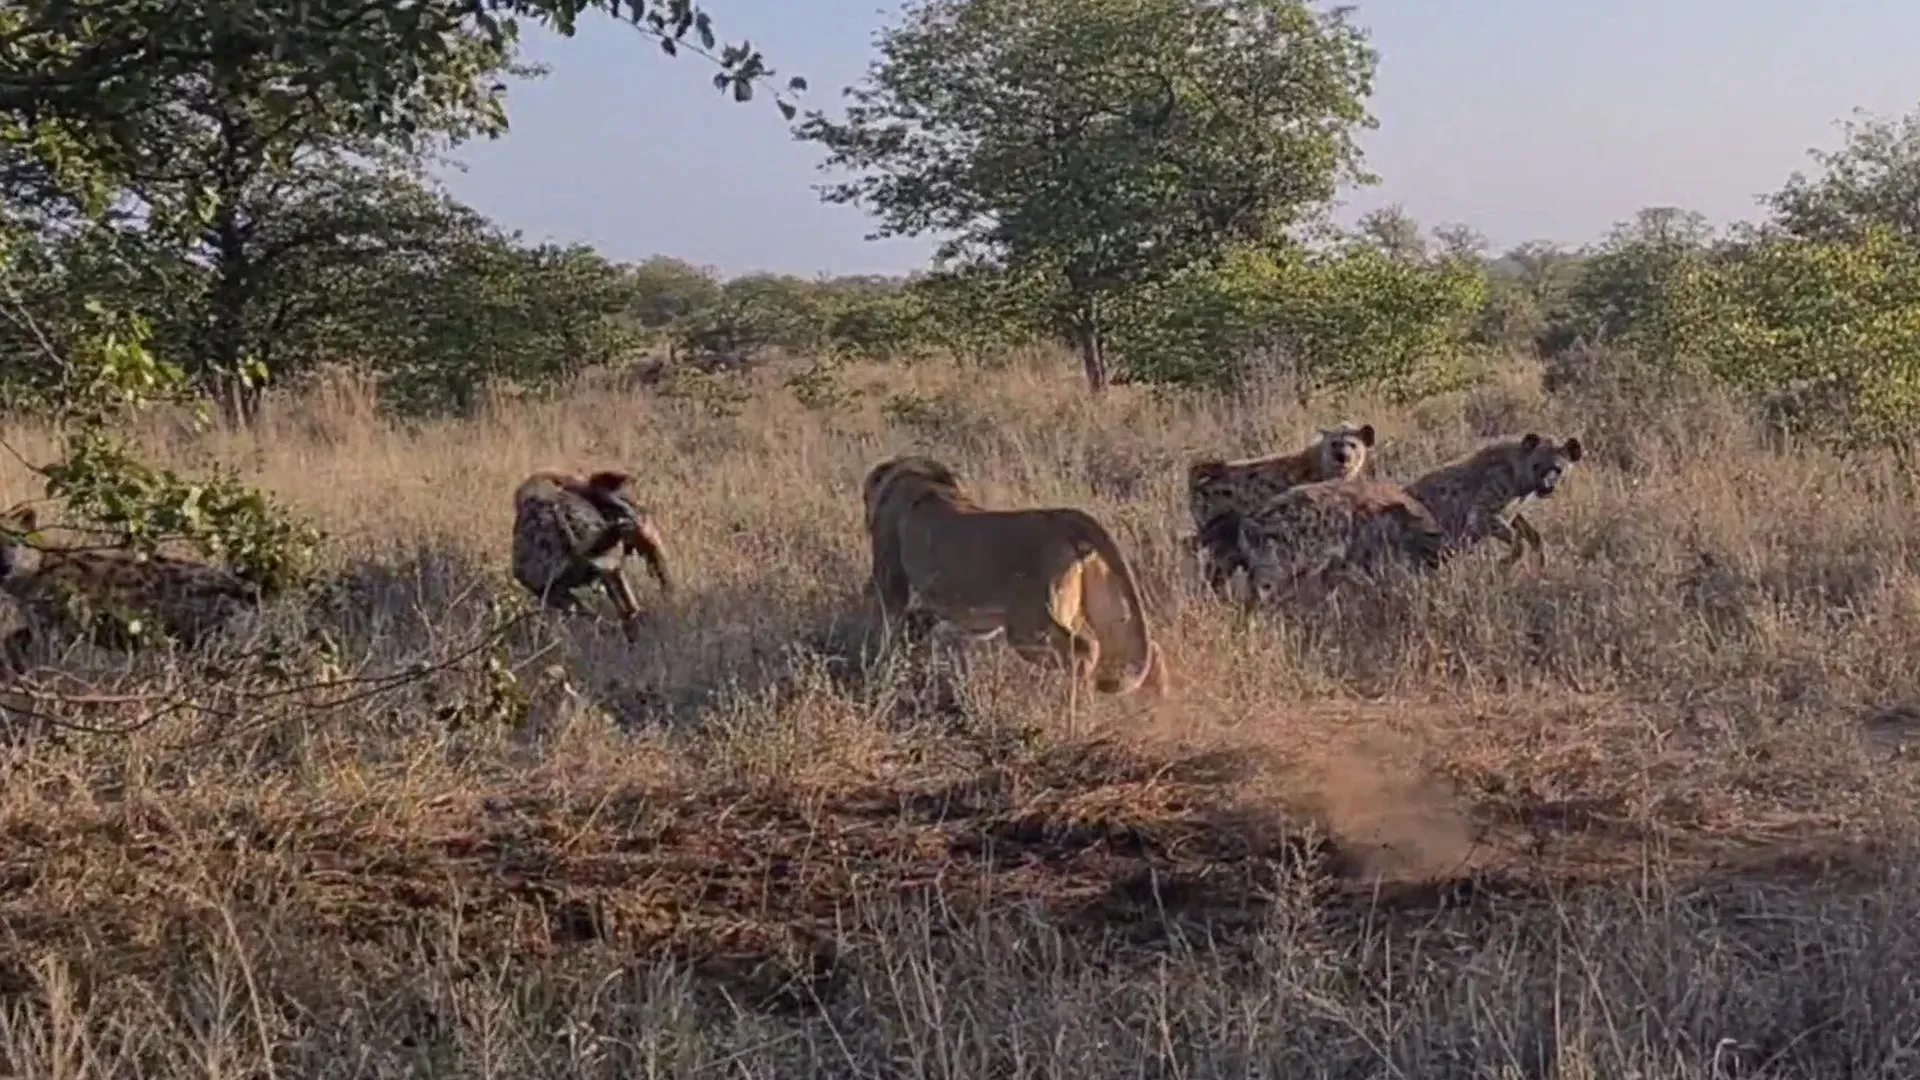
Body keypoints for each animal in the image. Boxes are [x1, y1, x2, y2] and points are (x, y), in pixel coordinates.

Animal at [861, 454, 1167, 696]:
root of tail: (1061, 518)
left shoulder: (891, 584)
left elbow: (886, 630)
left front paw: (879, 674)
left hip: (1028, 626)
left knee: (1085, 649)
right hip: (1100, 607)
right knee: (1149, 650)